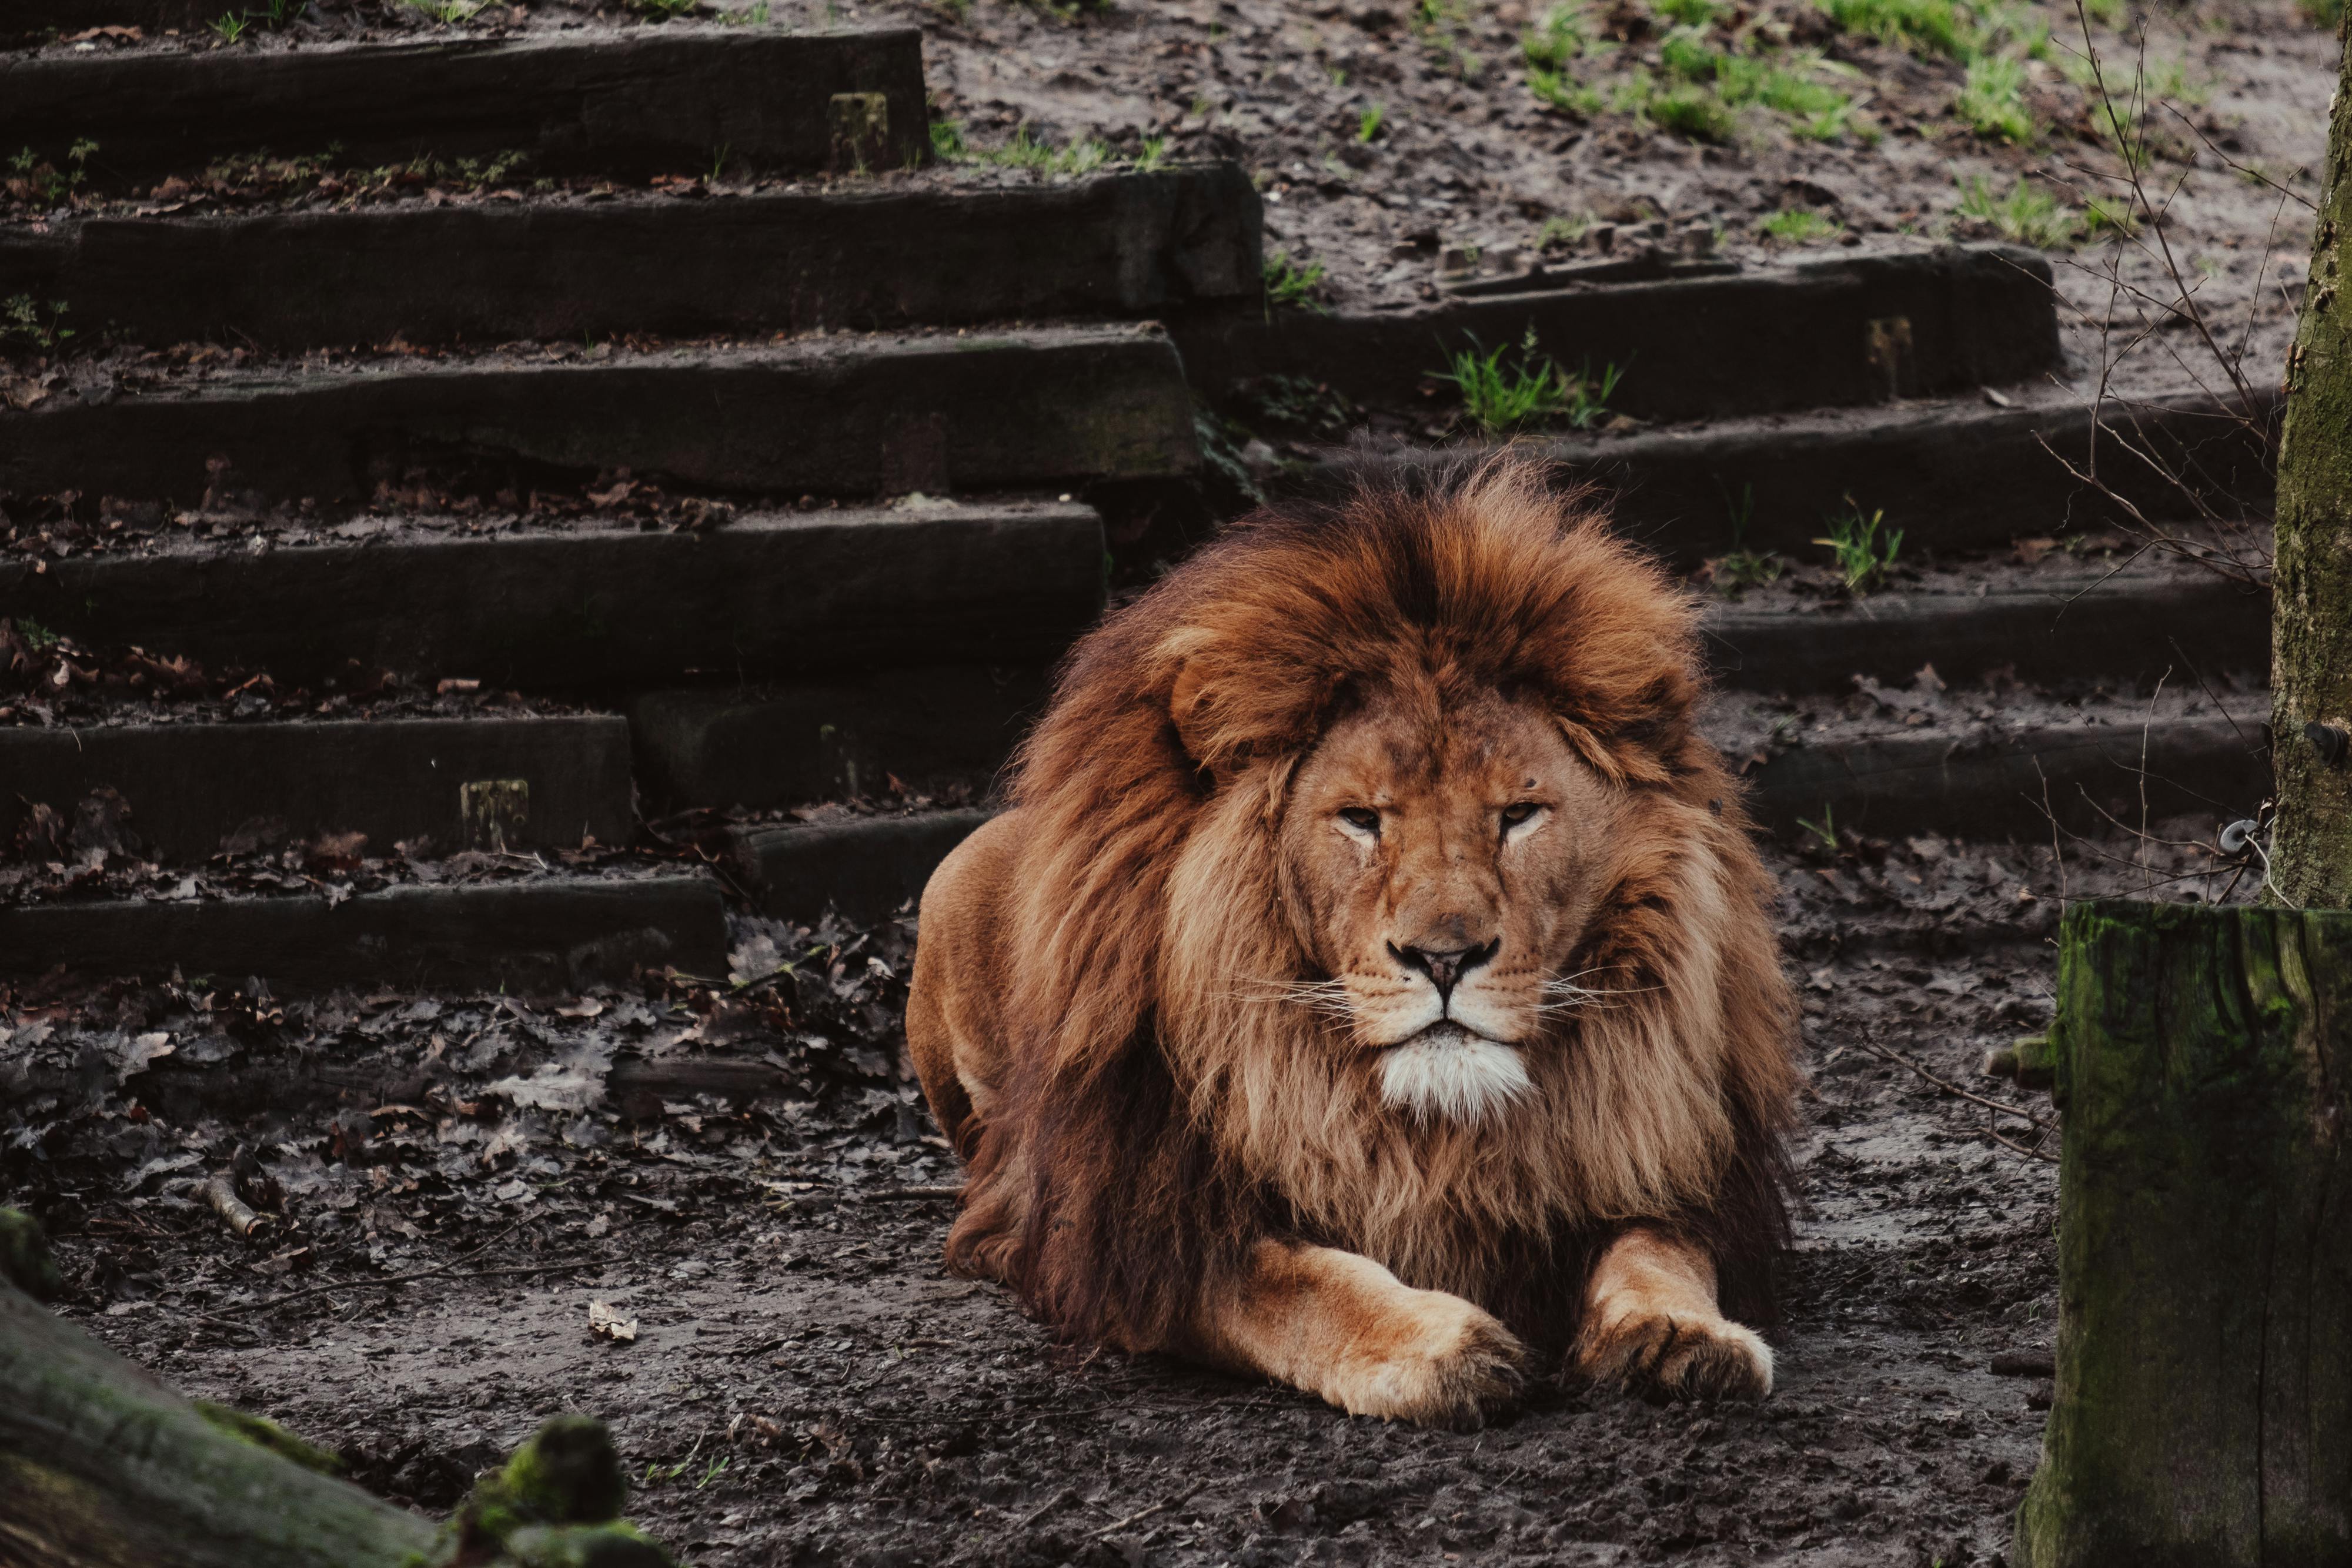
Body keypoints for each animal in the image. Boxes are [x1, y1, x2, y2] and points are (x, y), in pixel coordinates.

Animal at [908, 460, 1788, 1429]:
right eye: (1361, 819)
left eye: (1519, 814)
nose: (1444, 957)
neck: (1425, 1129)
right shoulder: (1147, 1230)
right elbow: (1294, 1285)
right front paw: (1441, 1344)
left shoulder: (1661, 1159)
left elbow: (1657, 1243)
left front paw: (1677, 1333)